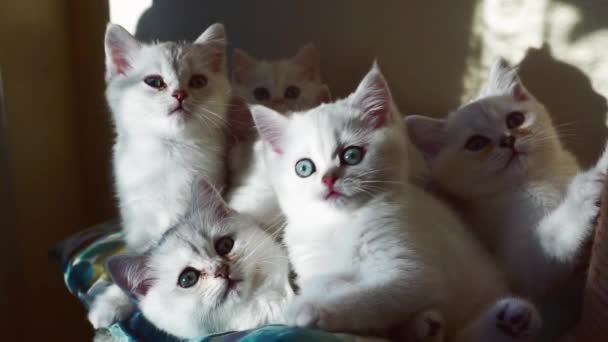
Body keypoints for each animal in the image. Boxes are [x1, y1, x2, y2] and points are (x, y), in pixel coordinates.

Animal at [249, 63, 540, 340]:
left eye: (352, 155)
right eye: (304, 168)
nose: (329, 179)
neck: (339, 224)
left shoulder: (413, 270)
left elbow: (371, 297)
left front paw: (313, 308)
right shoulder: (309, 262)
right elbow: (324, 282)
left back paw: (511, 318)